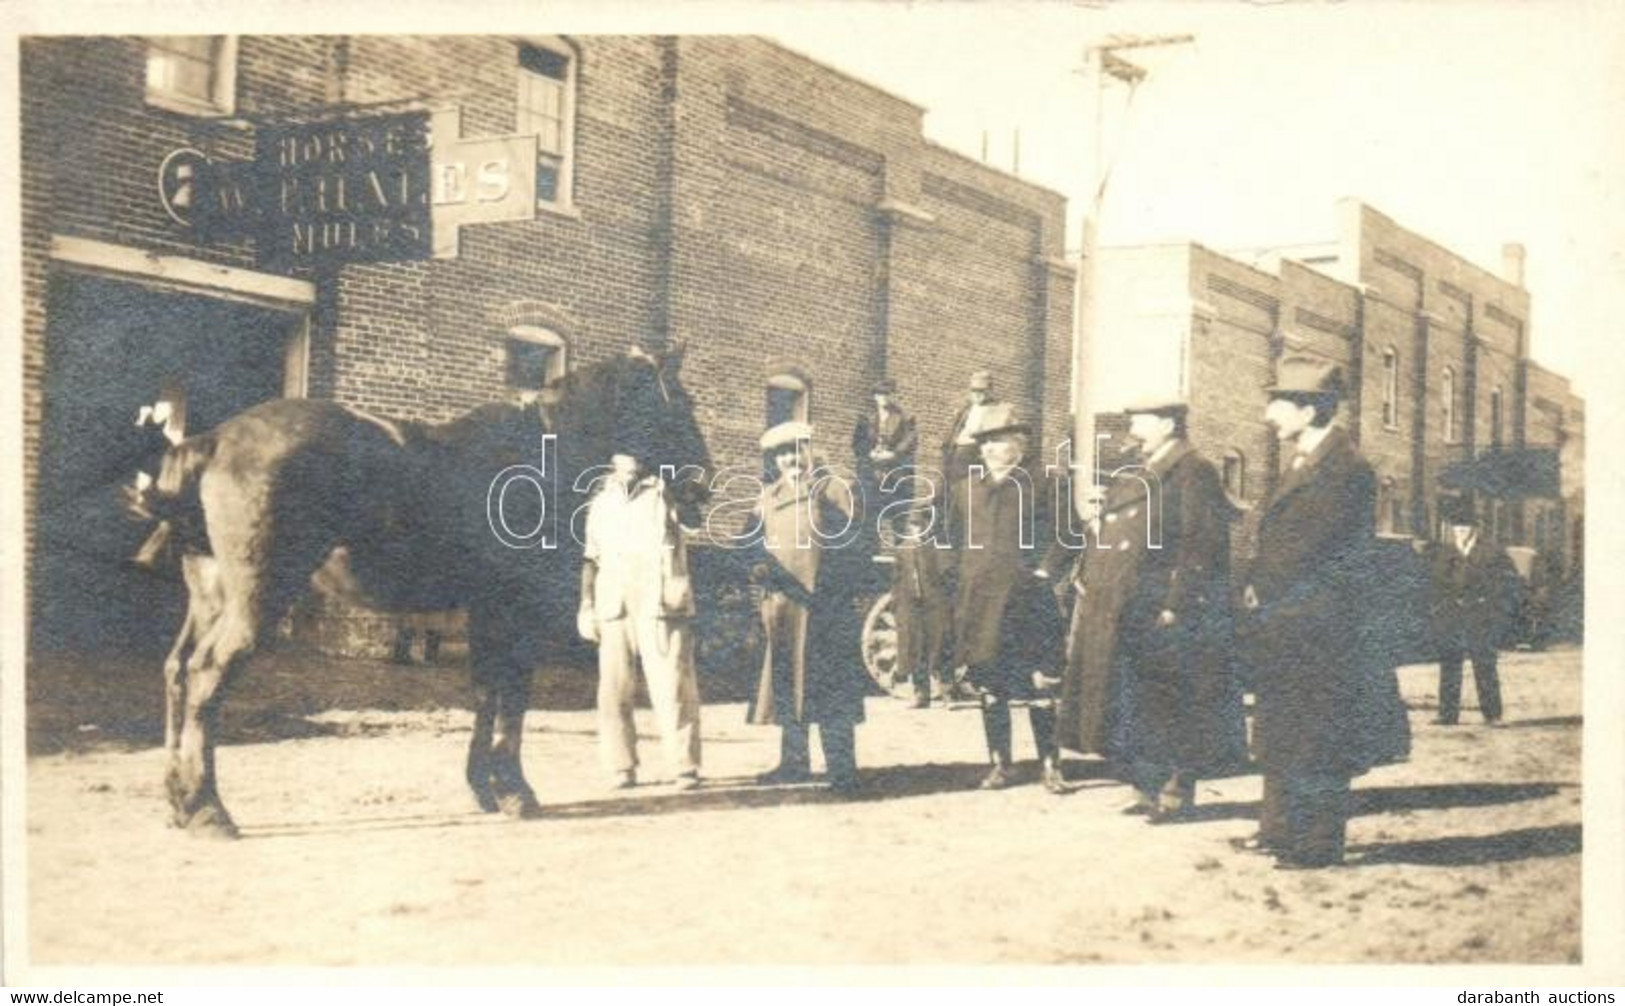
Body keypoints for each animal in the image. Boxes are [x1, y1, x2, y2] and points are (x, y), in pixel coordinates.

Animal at [131, 342, 705, 838]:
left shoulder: (485, 611)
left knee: (177, 671)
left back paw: (178, 801)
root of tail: (215, 440)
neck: (539, 455)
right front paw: (516, 791)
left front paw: (484, 788)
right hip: (257, 600)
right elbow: (512, 696)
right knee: (206, 674)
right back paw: (208, 809)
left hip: (212, 598)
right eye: (682, 402)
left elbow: (487, 693)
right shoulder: (513, 611)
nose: (703, 484)